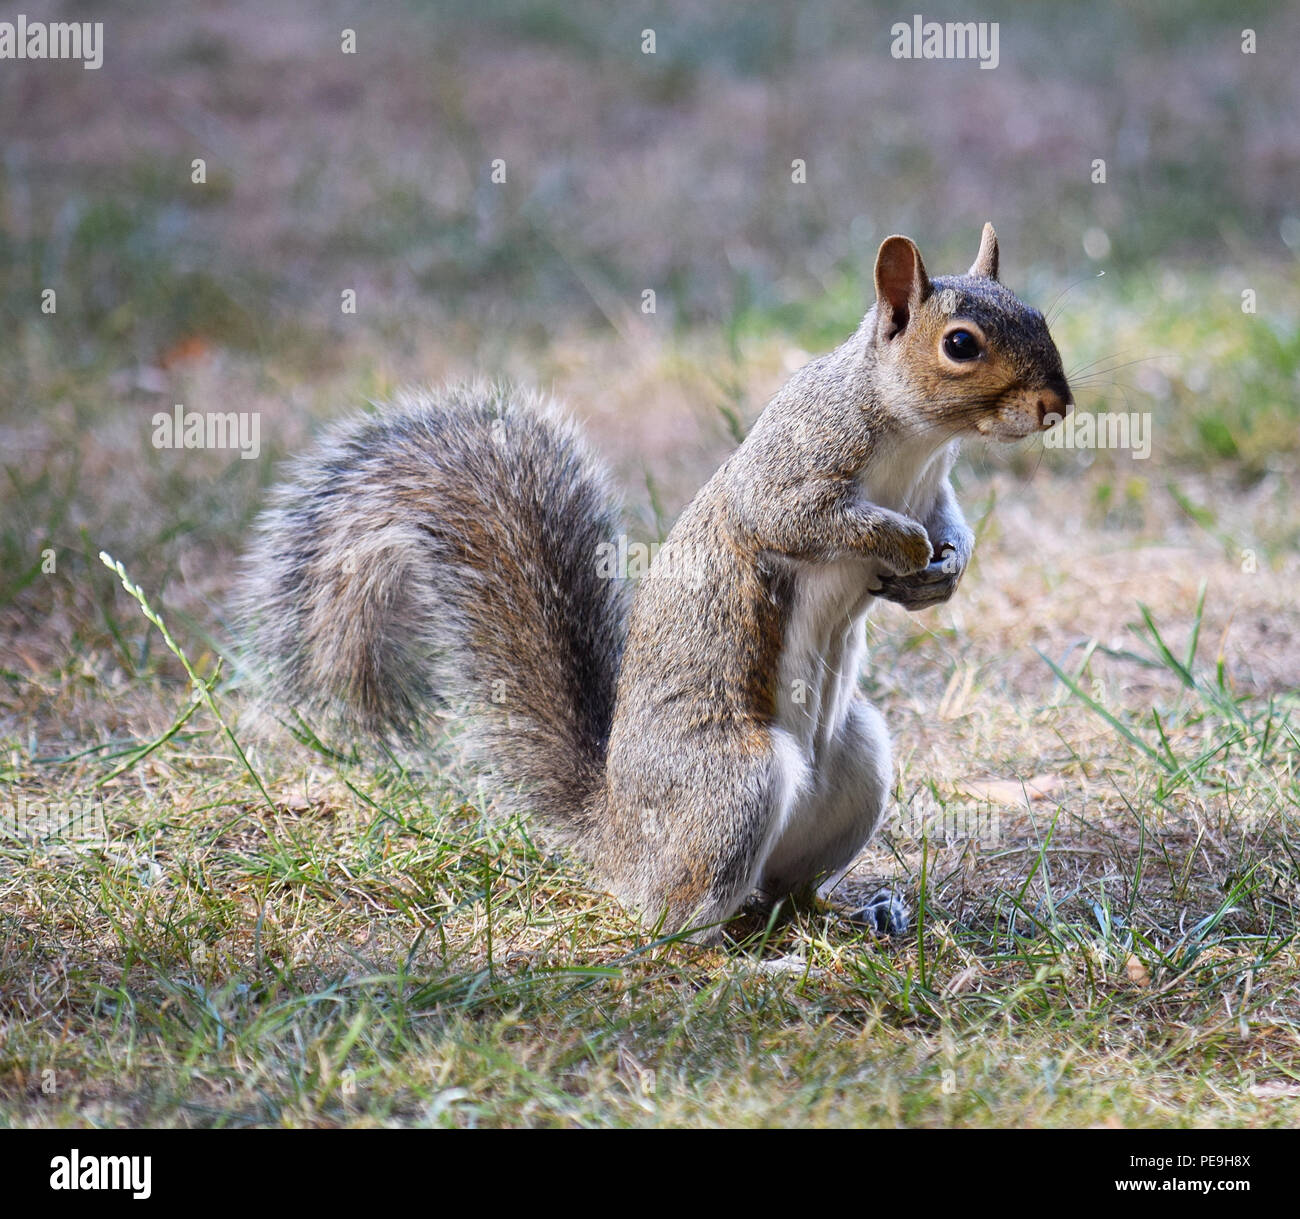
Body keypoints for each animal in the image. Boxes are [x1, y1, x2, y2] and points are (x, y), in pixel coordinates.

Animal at [236, 223, 1072, 943]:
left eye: (1037, 314)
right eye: (960, 344)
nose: (1058, 406)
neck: (920, 442)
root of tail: (618, 836)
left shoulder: (937, 488)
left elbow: (952, 523)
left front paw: (944, 570)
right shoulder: (795, 462)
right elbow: (794, 516)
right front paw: (902, 545)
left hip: (856, 764)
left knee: (784, 894)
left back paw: (854, 915)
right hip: (733, 783)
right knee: (679, 923)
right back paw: (755, 959)